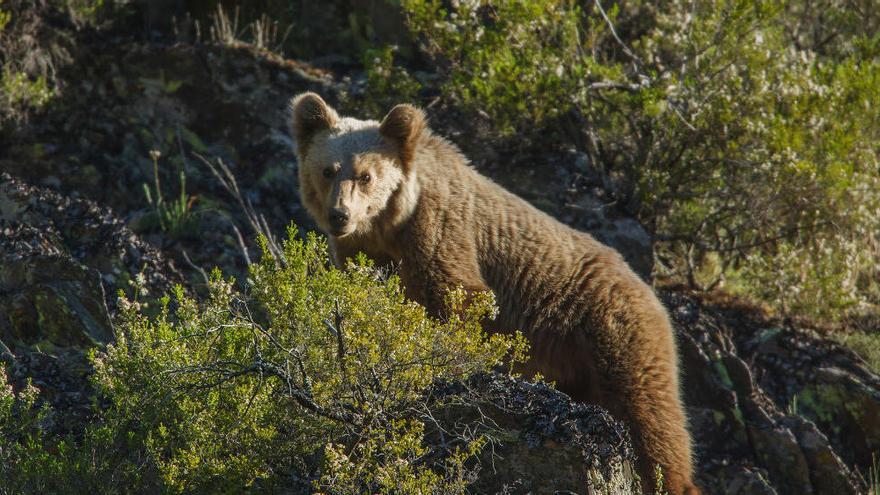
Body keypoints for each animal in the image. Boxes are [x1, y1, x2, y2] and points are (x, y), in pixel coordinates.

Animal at [292, 93, 696, 495]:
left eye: (366, 175)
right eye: (328, 170)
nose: (340, 215)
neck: (389, 227)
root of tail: (650, 291)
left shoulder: (439, 230)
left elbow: (456, 297)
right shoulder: (363, 253)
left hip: (614, 333)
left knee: (650, 417)